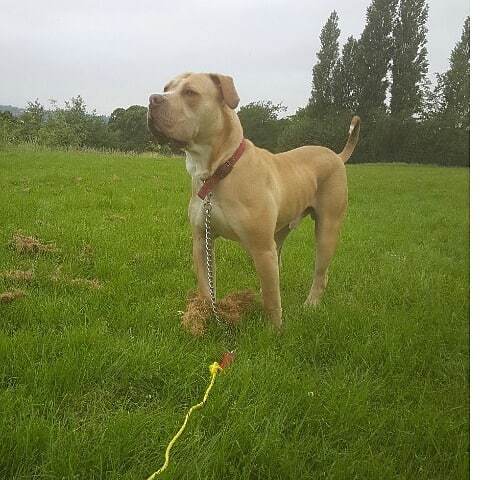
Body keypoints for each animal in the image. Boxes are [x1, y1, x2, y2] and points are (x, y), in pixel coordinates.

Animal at [148, 73, 358, 328]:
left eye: (190, 93)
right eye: (166, 88)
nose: (153, 99)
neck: (219, 169)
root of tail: (336, 155)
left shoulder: (260, 247)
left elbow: (272, 298)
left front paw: (274, 330)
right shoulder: (201, 240)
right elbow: (207, 287)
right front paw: (207, 317)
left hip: (326, 229)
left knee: (318, 272)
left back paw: (311, 304)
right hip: (278, 235)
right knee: (275, 269)